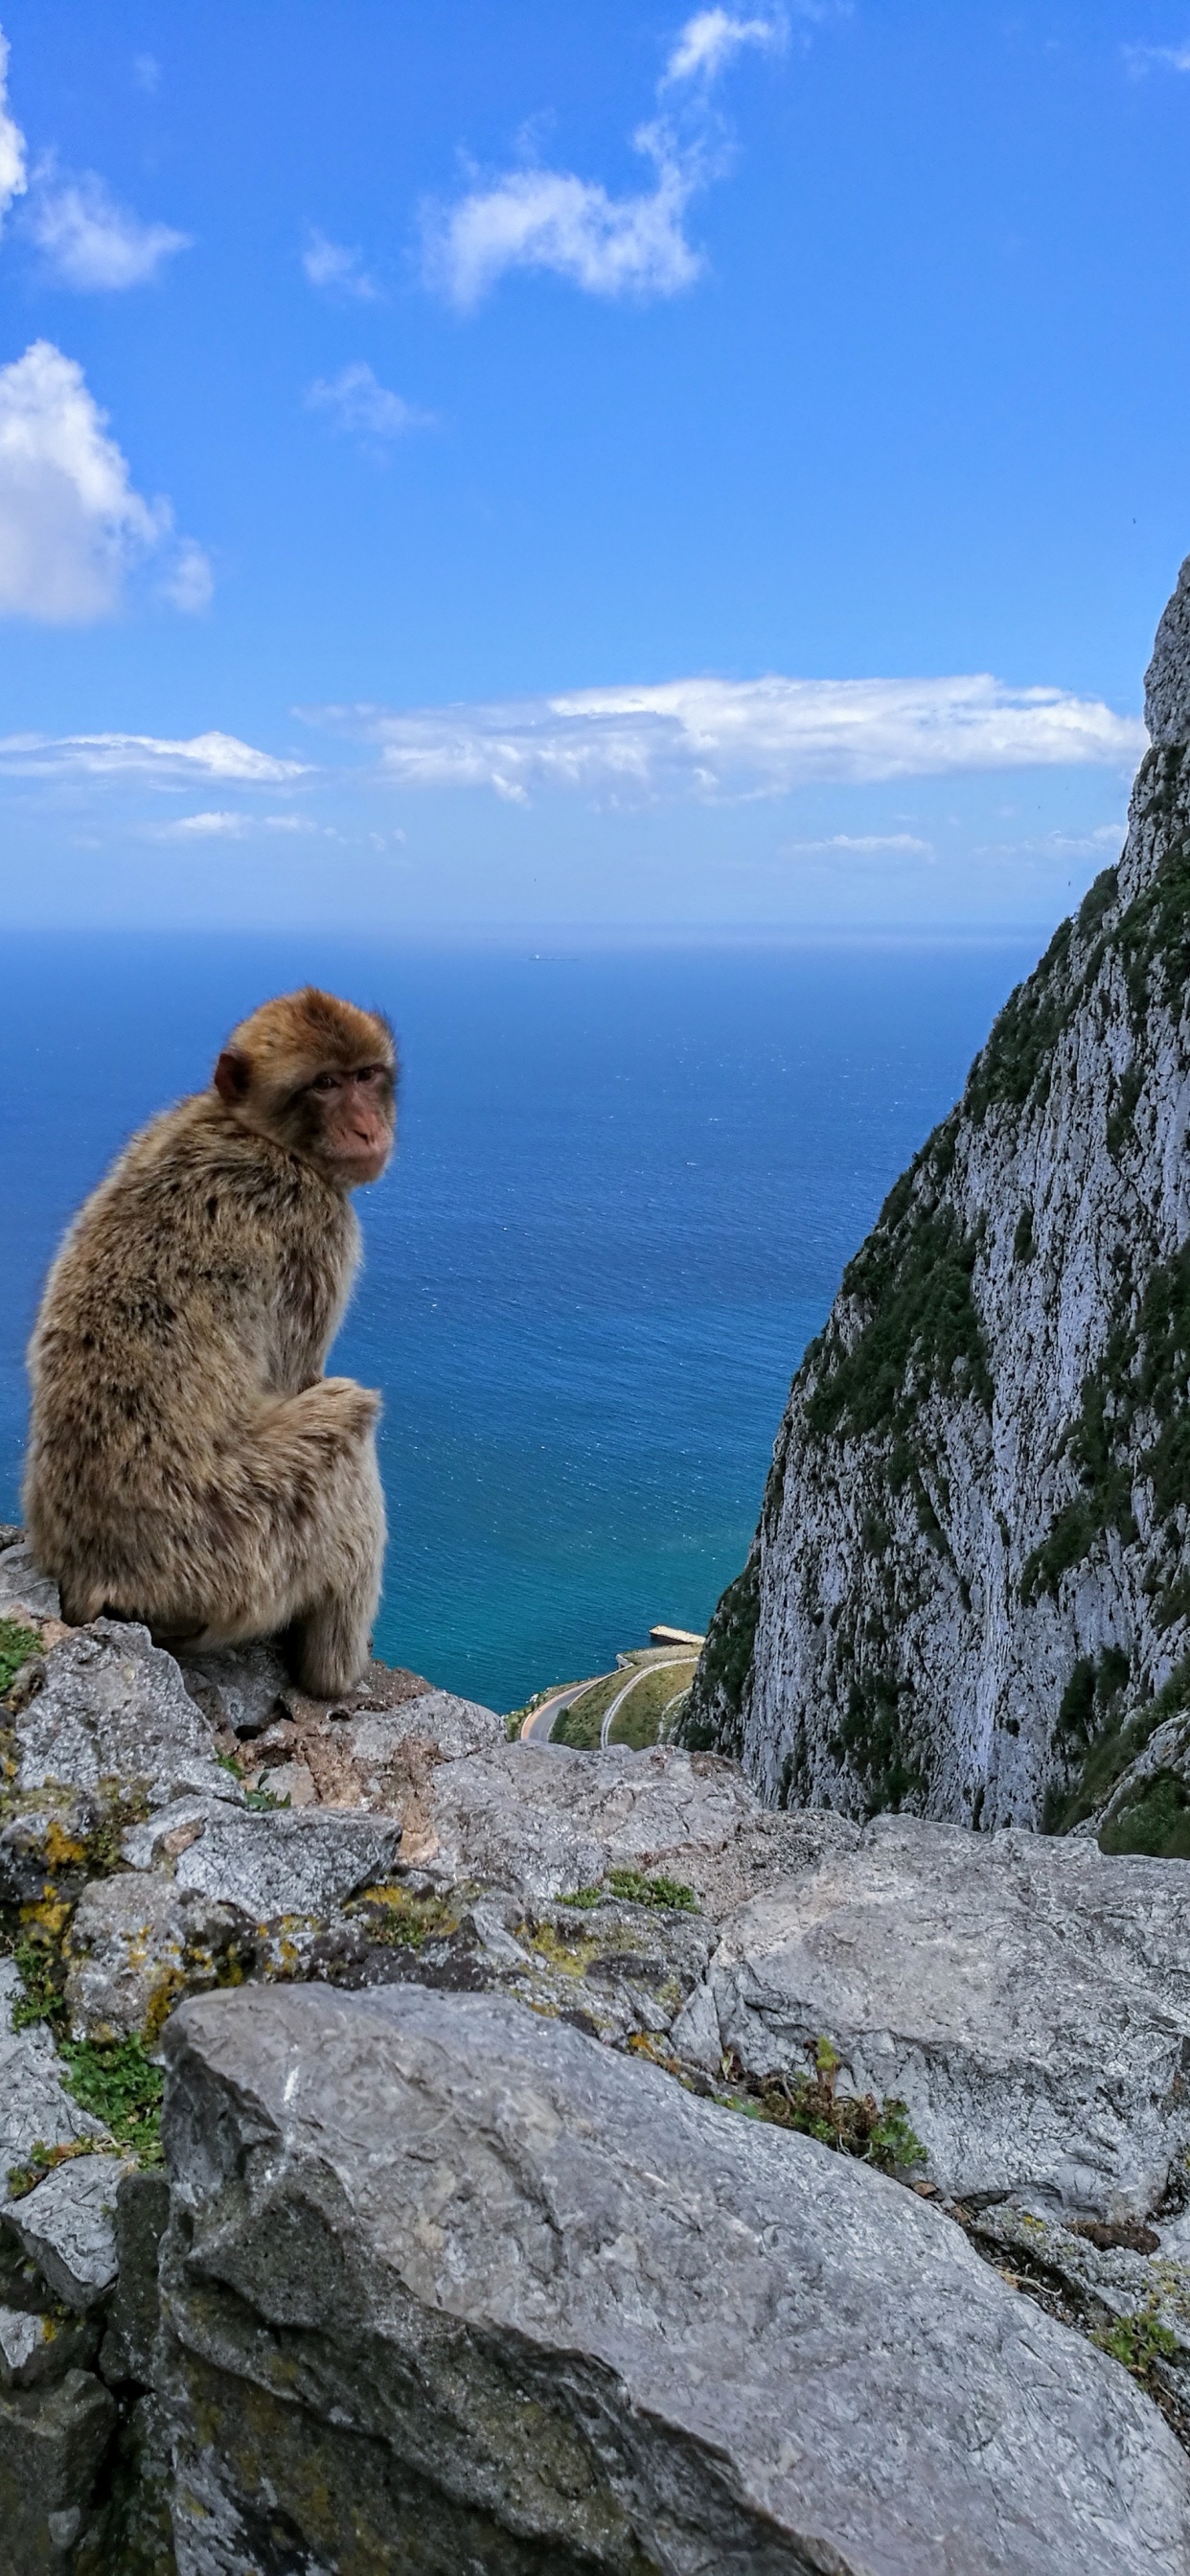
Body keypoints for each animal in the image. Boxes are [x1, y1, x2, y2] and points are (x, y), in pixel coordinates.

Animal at [23, 987, 396, 1697]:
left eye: (366, 1076)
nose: (368, 1129)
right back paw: (332, 1676)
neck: (251, 1129)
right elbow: (301, 1378)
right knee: (347, 1422)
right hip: (236, 1545)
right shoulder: (317, 1224)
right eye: (325, 1085)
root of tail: (94, 1578)